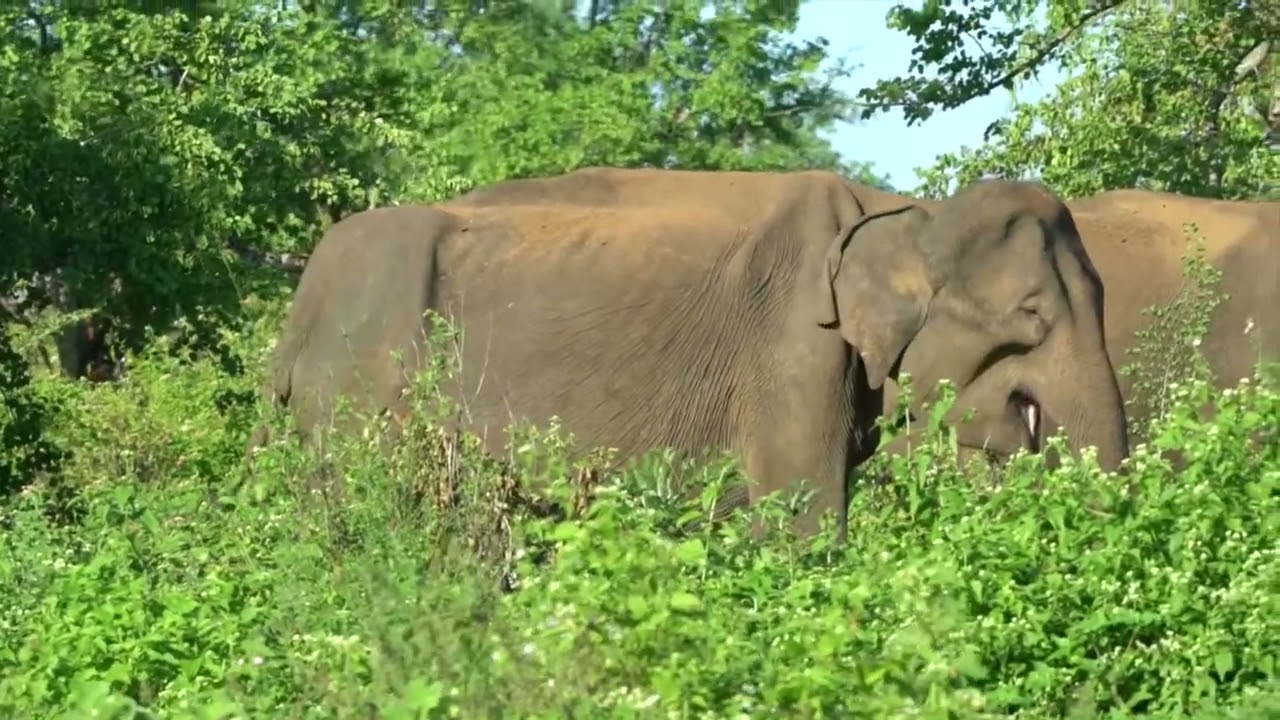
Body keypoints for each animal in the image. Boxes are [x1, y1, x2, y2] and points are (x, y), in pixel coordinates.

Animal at [256, 167, 1130, 540]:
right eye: (1031, 314)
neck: (900, 210)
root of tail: (297, 314)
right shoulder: (793, 347)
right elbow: (803, 516)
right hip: (360, 389)